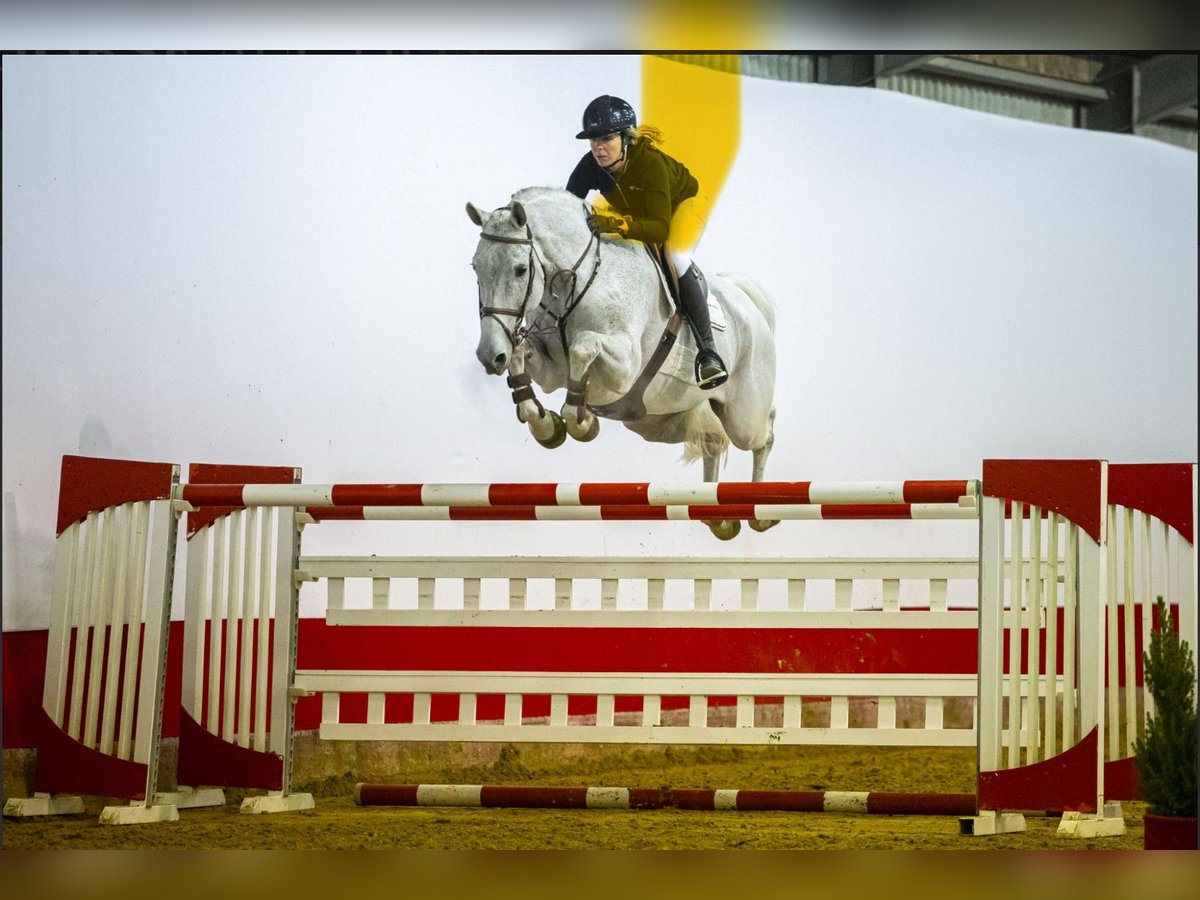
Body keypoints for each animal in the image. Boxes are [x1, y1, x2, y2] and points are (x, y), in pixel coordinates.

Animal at [468, 183, 777, 535]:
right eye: (476, 267)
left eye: (520, 270)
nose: (489, 355)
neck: (579, 282)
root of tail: (748, 303)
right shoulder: (550, 368)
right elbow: (523, 356)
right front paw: (546, 424)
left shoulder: (624, 368)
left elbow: (583, 347)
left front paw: (579, 420)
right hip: (656, 421)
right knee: (712, 439)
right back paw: (718, 515)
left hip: (743, 417)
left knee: (763, 432)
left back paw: (760, 512)